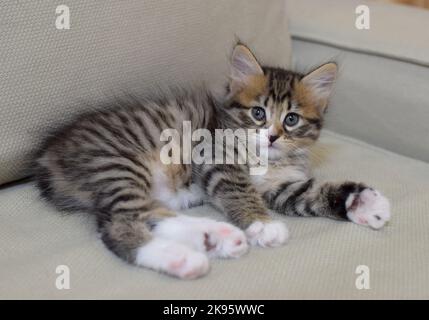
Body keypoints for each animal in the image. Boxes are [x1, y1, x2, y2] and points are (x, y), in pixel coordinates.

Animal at [32, 45, 388, 280]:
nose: (272, 137)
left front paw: (365, 203)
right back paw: (182, 257)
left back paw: (214, 236)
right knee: (118, 223)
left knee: (148, 214)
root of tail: (47, 155)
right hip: (119, 164)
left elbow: (313, 193)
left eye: (291, 119)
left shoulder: (281, 186)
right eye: (258, 113)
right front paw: (263, 224)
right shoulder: (214, 156)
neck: (265, 159)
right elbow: (239, 189)